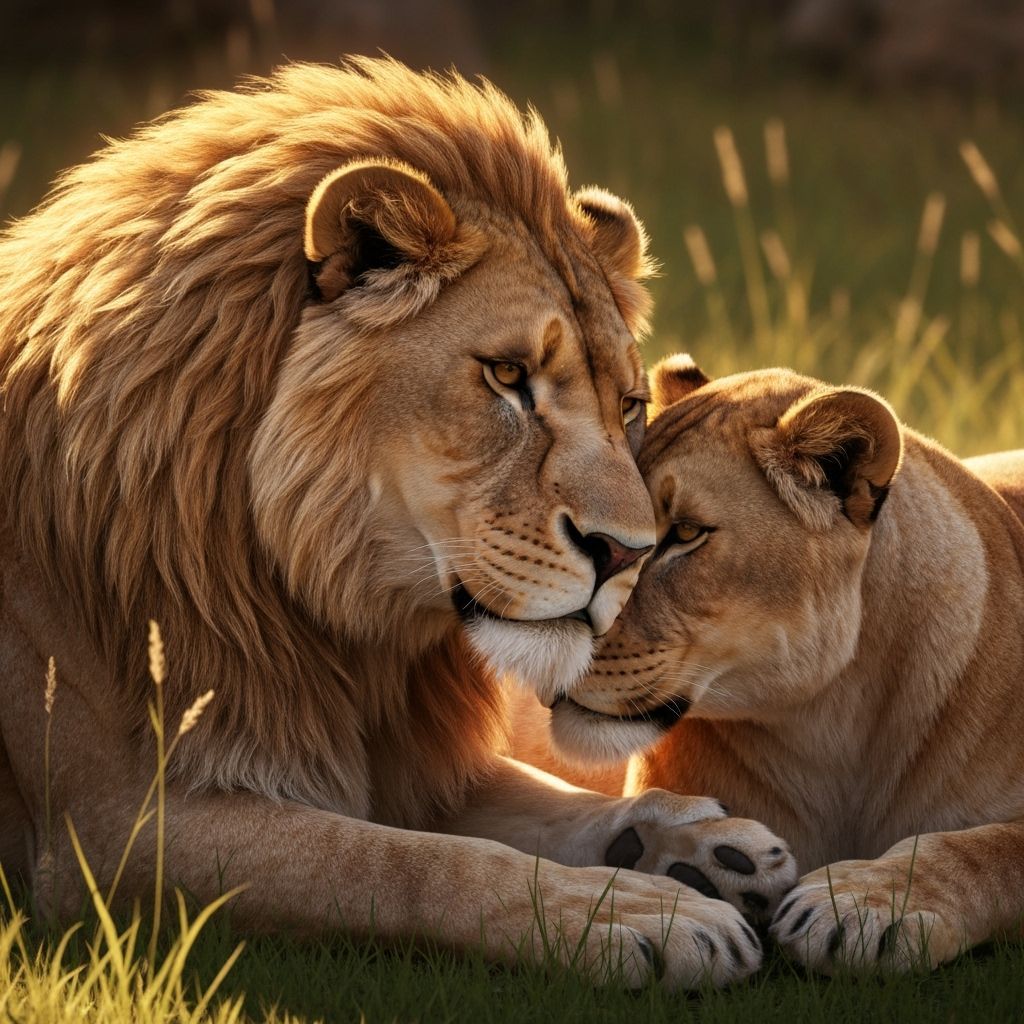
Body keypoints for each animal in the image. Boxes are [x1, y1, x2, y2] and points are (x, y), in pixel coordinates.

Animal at [0, 60, 795, 989]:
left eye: (629, 405)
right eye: (508, 376)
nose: (625, 554)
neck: (328, 616)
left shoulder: (418, 761)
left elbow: (545, 804)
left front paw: (701, 844)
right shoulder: (107, 836)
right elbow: (404, 862)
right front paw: (631, 911)